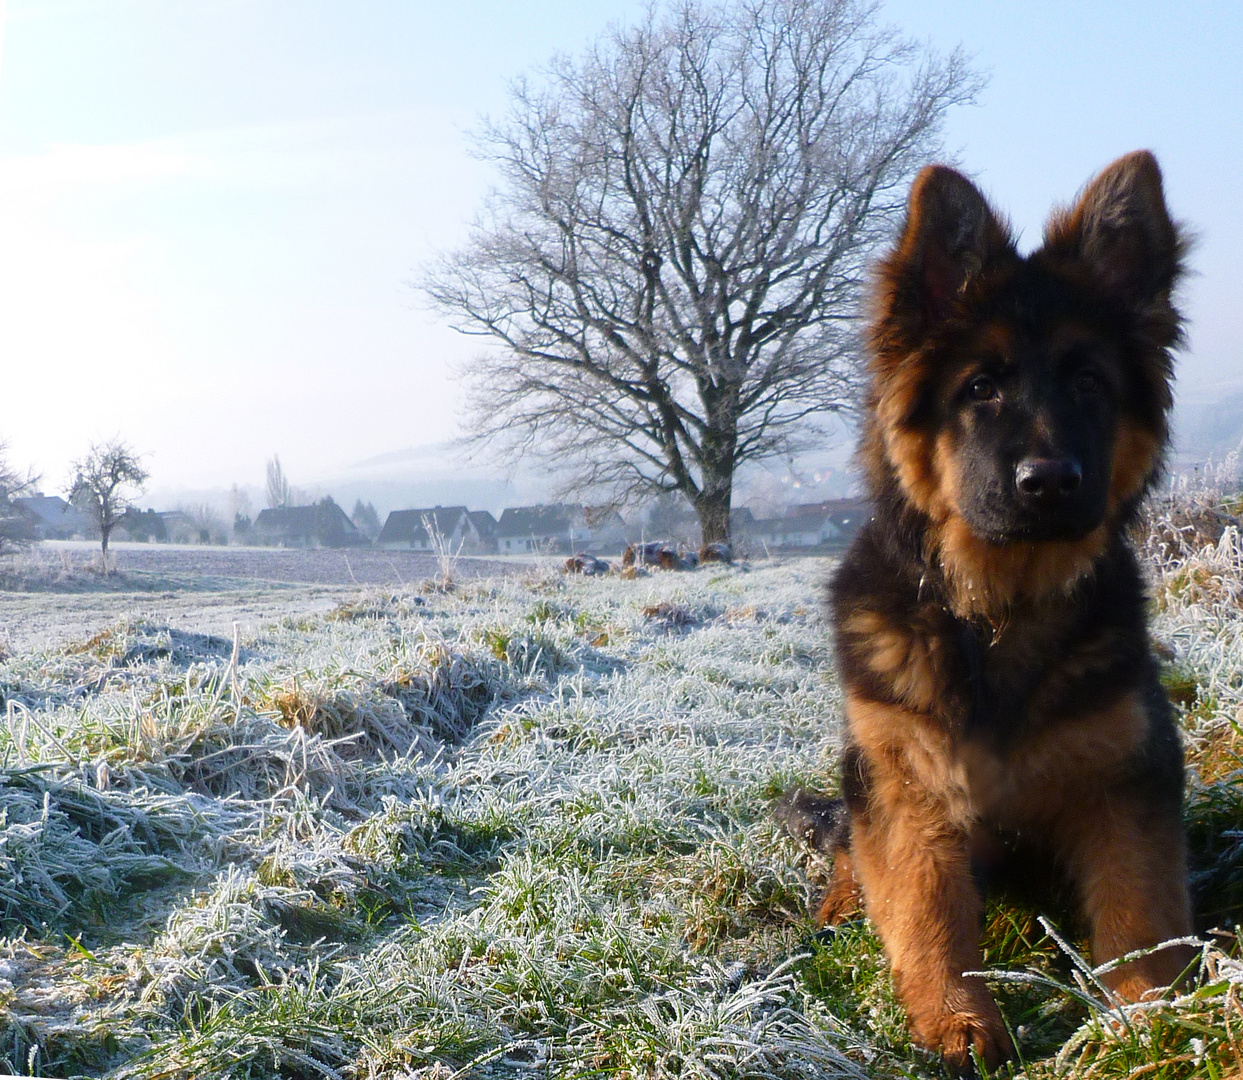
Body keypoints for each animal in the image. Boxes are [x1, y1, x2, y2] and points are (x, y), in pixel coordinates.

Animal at [775, 151, 1193, 1068]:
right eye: (980, 388)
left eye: (1088, 382)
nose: (1048, 483)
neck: (999, 605)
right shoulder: (906, 784)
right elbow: (924, 908)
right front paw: (953, 1022)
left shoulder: (1125, 778)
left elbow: (1140, 911)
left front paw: (1148, 1017)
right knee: (847, 854)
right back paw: (837, 909)